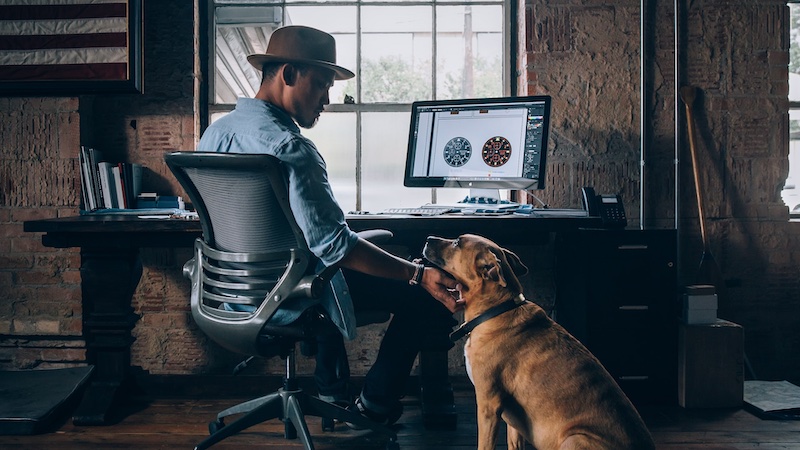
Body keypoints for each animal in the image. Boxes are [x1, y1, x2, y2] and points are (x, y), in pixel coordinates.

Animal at [422, 236, 652, 450]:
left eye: (457, 243)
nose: (428, 239)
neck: (496, 310)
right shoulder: (513, 422)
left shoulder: (488, 404)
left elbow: (484, 445)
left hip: (574, 438)